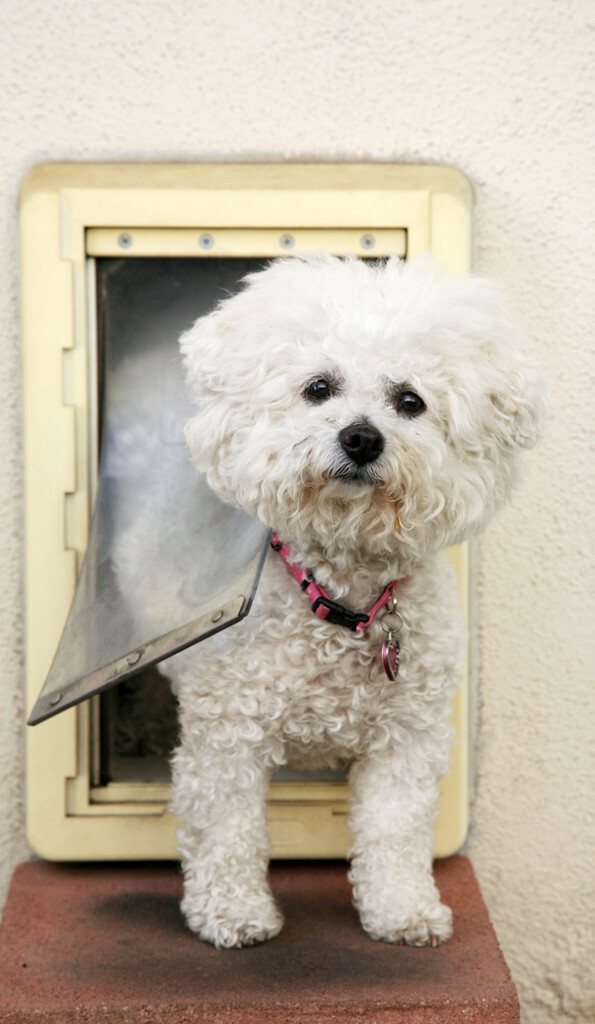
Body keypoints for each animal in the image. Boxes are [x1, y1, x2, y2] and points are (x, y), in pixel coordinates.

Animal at [164, 253, 544, 950]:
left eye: (410, 401)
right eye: (319, 387)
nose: (362, 437)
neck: (344, 597)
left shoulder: (408, 739)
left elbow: (394, 831)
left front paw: (402, 911)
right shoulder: (227, 735)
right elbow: (227, 830)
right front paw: (233, 914)